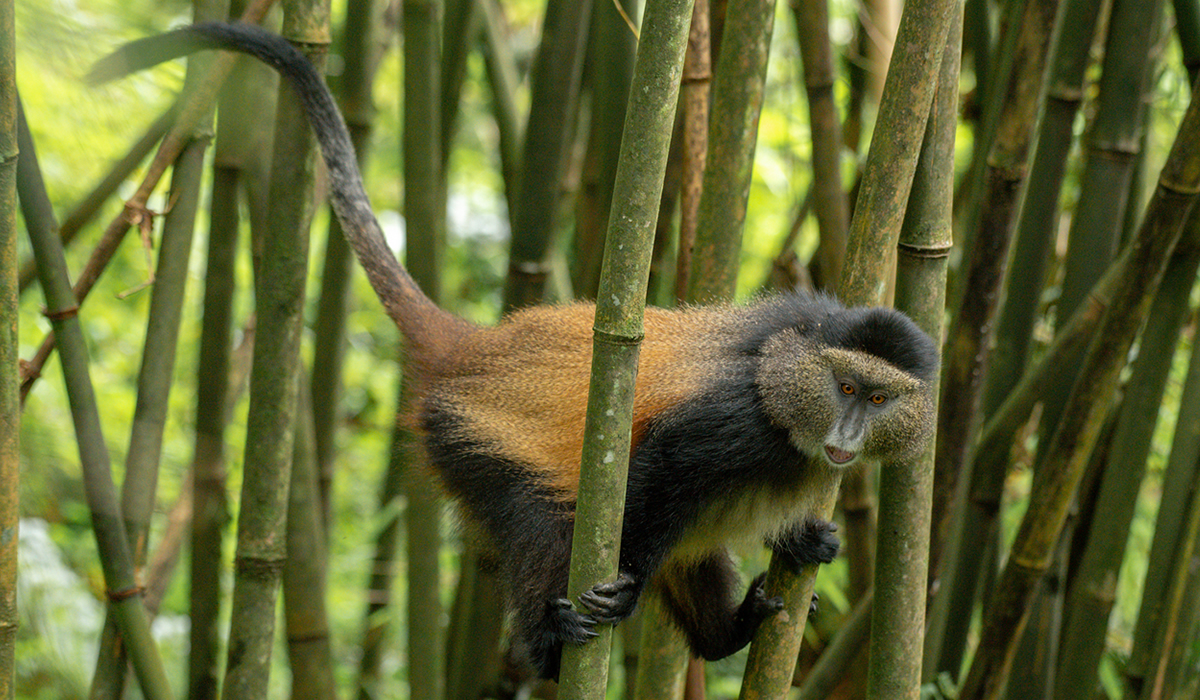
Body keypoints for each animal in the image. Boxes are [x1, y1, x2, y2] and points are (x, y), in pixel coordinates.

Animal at [91, 22, 940, 680]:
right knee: (539, 519)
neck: (787, 399)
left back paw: (728, 631)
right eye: (845, 389)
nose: (848, 433)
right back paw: (553, 646)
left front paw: (808, 540)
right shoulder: (729, 424)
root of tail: (471, 350)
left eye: (879, 397)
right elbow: (655, 469)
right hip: (466, 440)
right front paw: (619, 593)